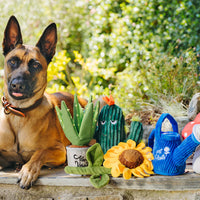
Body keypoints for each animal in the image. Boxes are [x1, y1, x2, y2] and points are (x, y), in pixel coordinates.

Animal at [0, 15, 87, 189]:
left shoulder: (59, 150)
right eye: (12, 61)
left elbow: (40, 152)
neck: (19, 114)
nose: (17, 84)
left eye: (35, 64)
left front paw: (28, 171)